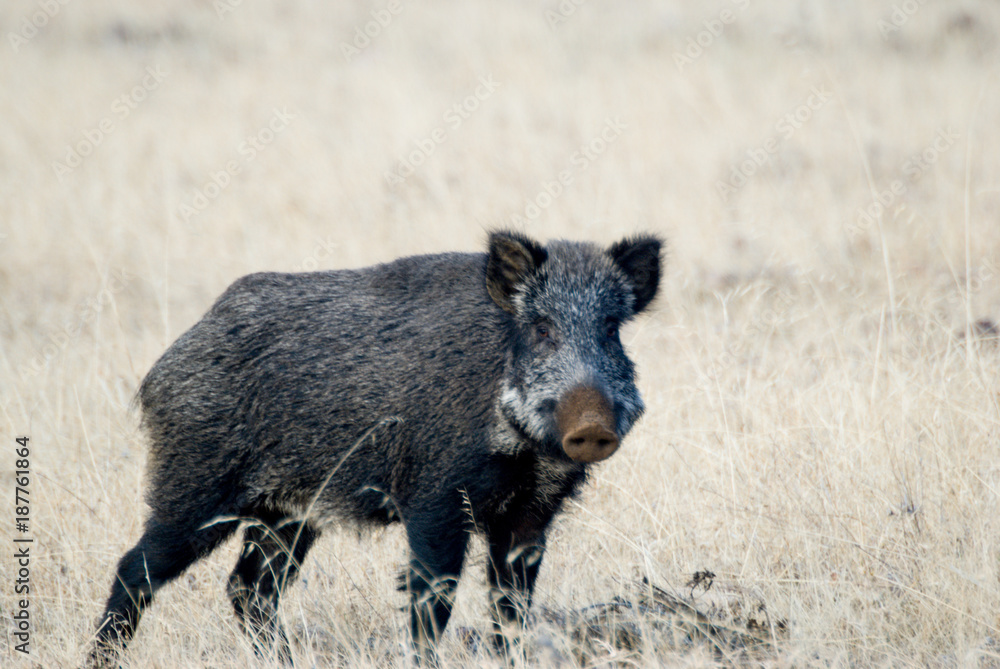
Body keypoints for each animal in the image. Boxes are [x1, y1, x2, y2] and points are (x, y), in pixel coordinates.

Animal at [85, 230, 662, 667]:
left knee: (249, 590)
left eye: (611, 329)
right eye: (541, 328)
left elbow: (510, 610)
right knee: (136, 570)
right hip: (196, 486)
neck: (522, 449)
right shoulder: (434, 499)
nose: (591, 426)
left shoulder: (530, 515)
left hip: (287, 515)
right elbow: (433, 602)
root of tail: (164, 366)